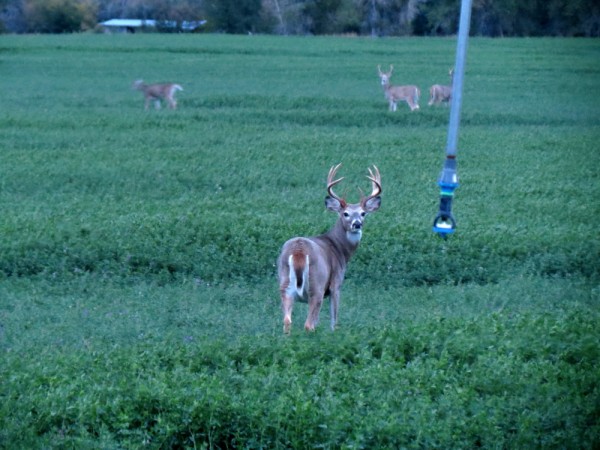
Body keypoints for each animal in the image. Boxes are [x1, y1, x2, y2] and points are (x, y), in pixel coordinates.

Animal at [278, 163, 382, 332]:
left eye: (363, 213)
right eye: (345, 213)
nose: (357, 224)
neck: (339, 249)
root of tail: (299, 251)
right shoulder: (336, 283)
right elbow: (334, 320)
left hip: (284, 284)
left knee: (287, 320)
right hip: (317, 285)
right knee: (308, 324)